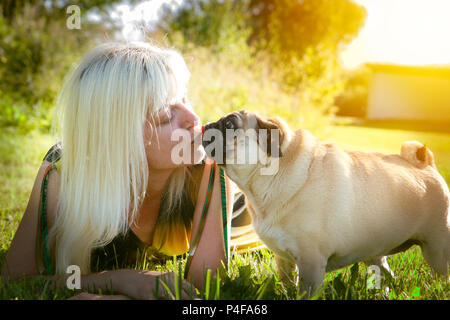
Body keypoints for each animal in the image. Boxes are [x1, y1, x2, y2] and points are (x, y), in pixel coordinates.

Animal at [202, 110, 448, 298]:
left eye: (229, 124)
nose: (206, 126)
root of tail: (427, 166)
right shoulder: (285, 260)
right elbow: (287, 283)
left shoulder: (311, 262)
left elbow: (305, 293)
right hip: (375, 253)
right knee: (386, 275)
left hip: (437, 250)